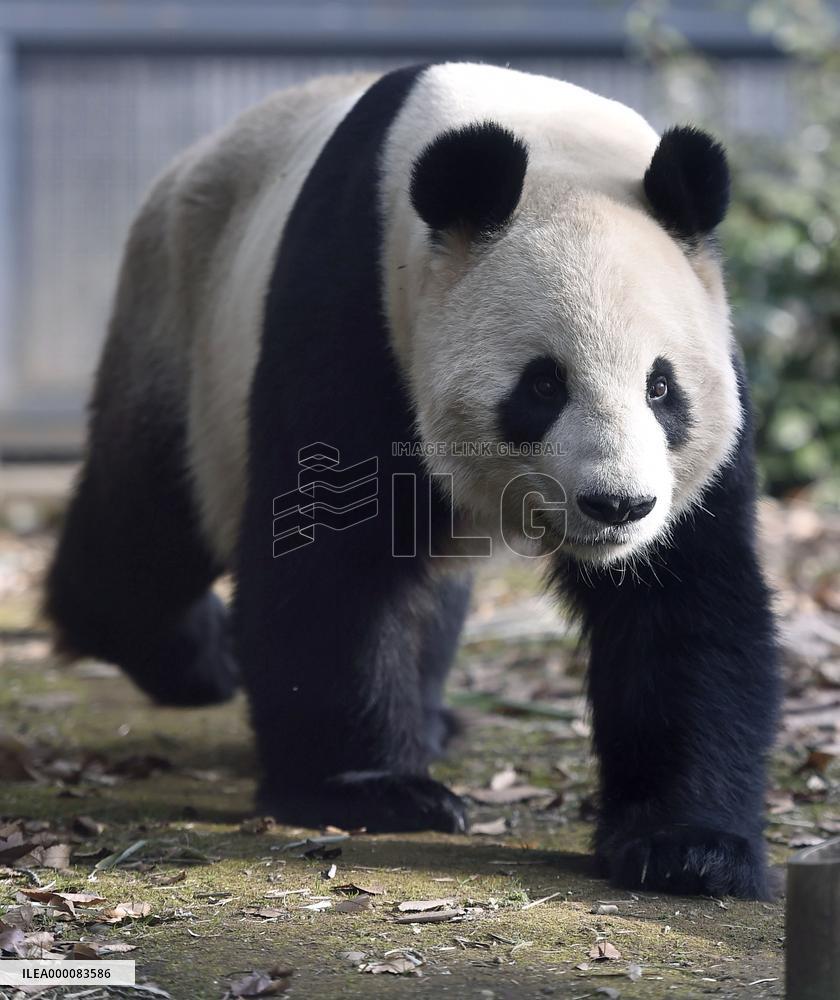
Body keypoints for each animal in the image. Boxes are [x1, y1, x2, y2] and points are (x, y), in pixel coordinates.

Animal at [45, 62, 780, 899]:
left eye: (661, 387)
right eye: (543, 385)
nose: (618, 505)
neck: (548, 146)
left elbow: (686, 597)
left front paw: (688, 846)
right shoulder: (355, 304)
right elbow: (328, 552)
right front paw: (373, 791)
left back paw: (429, 718)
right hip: (182, 330)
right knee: (150, 526)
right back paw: (190, 655)